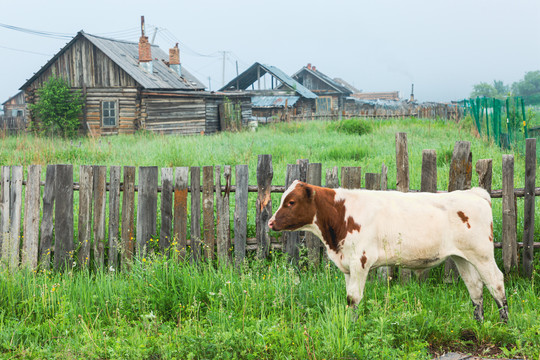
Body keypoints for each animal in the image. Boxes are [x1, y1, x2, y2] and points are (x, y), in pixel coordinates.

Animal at [270, 181, 510, 322]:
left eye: (291, 202)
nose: (271, 222)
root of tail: (474, 193)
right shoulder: (347, 266)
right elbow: (348, 298)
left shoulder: (360, 262)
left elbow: (354, 298)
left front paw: (353, 327)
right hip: (462, 257)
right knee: (475, 287)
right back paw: (477, 324)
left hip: (482, 254)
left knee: (496, 283)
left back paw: (504, 323)